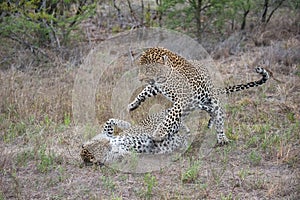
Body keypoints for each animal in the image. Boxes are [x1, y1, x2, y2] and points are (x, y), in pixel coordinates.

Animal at [127, 47, 270, 147]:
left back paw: (222, 138)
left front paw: (158, 134)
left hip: (212, 101)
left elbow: (169, 117)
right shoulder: (158, 87)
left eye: (149, 69)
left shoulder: (182, 99)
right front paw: (133, 105)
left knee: (218, 117)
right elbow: (145, 92)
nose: (139, 78)